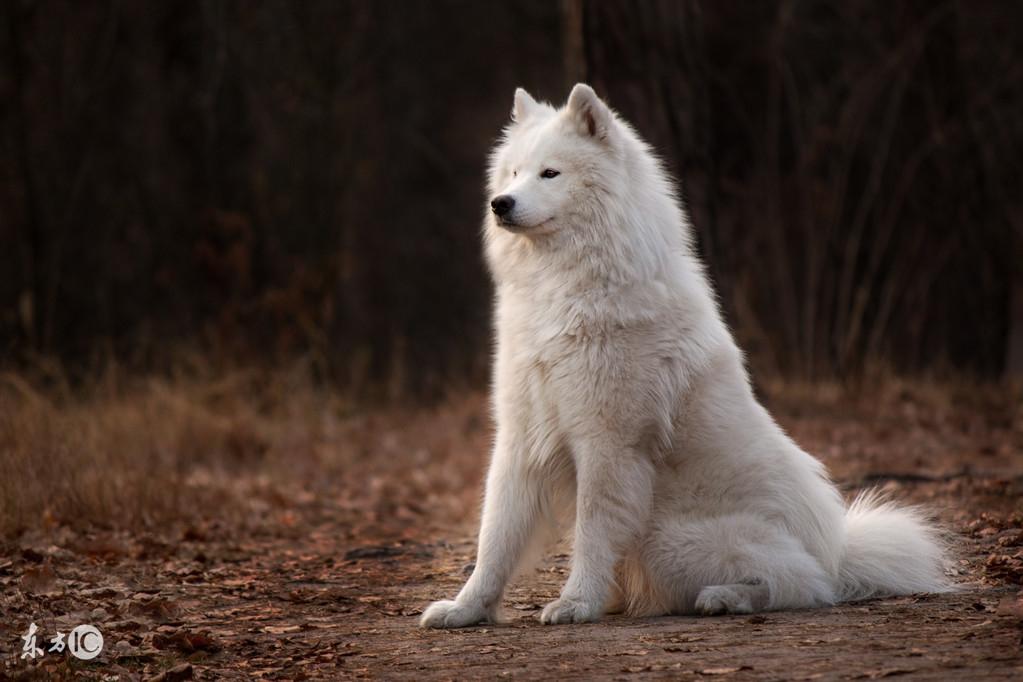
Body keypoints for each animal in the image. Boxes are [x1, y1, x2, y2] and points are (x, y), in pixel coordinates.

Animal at [419, 82, 945, 625]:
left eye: (550, 173)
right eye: (513, 173)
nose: (500, 203)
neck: (564, 286)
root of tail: (837, 554)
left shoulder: (608, 443)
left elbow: (591, 531)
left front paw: (576, 602)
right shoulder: (520, 437)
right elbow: (494, 537)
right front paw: (466, 609)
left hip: (672, 537)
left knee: (800, 583)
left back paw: (726, 597)